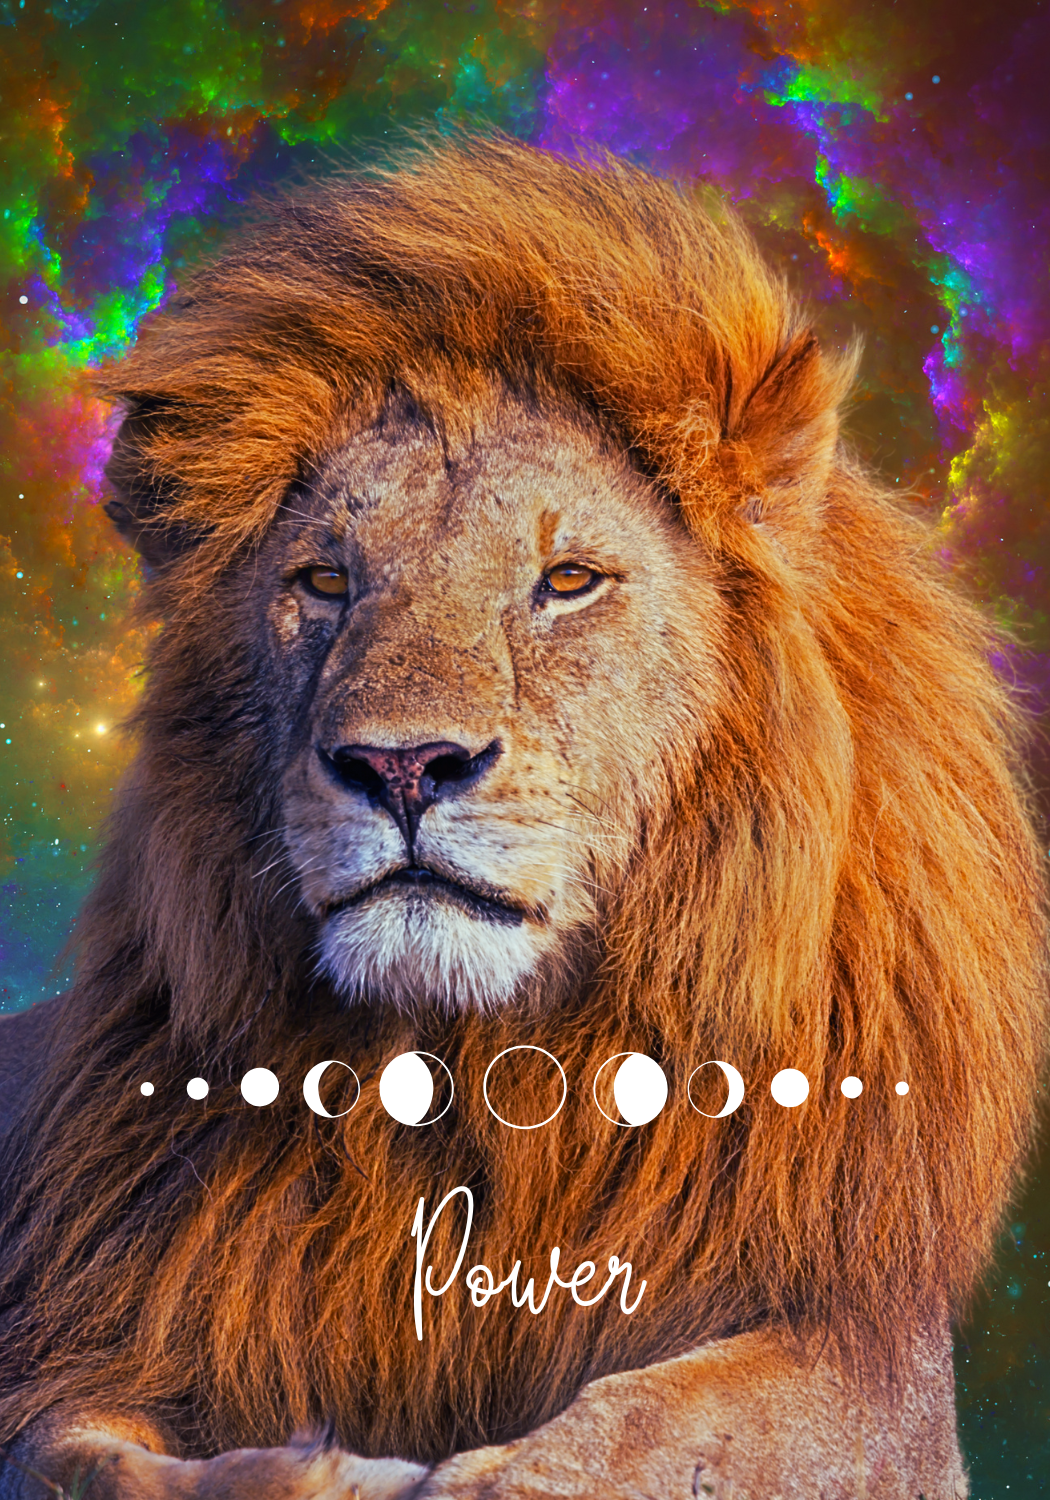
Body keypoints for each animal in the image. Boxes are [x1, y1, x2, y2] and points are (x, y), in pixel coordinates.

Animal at [0, 131, 1046, 1500]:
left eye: (567, 580)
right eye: (324, 581)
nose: (400, 766)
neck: (482, 1069)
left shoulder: (860, 1357)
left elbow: (652, 1431)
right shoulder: (100, 1330)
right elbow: (84, 1455)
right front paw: (314, 1471)